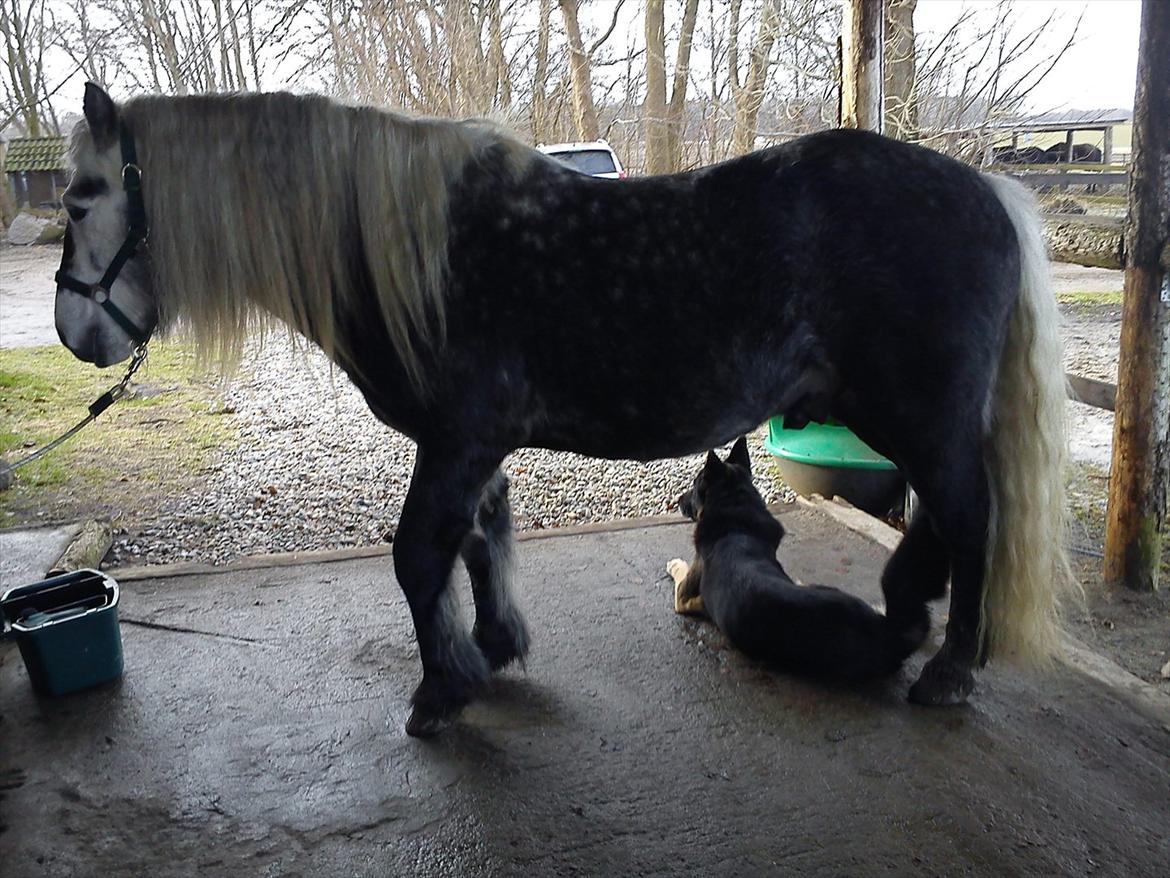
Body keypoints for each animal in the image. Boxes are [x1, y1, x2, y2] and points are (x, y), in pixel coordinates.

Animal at [55, 84, 1072, 737]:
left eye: (82, 196)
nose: (75, 333)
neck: (418, 251)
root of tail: (989, 190)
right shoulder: (470, 446)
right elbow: (477, 539)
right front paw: (495, 644)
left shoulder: (457, 439)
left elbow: (420, 554)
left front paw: (443, 689)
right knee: (946, 519)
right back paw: (910, 612)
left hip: (922, 415)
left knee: (971, 520)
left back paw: (948, 670)